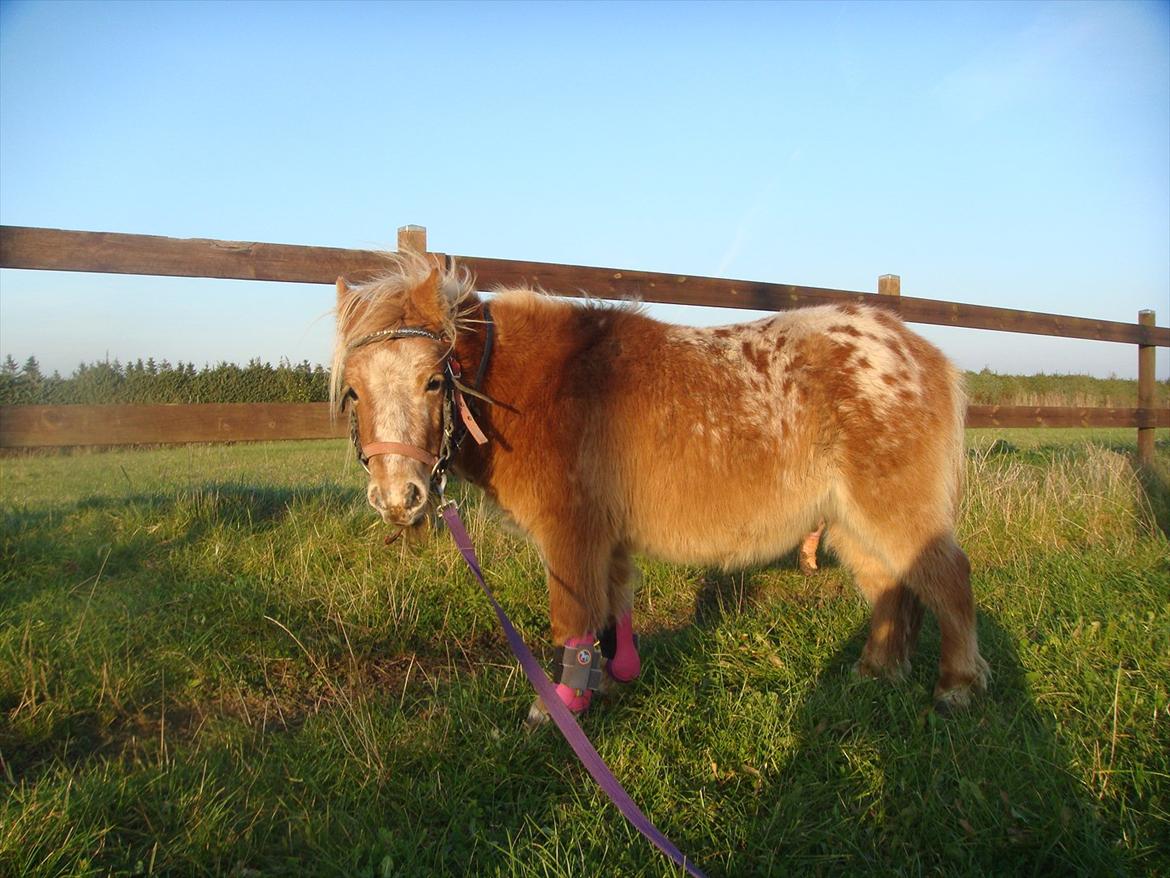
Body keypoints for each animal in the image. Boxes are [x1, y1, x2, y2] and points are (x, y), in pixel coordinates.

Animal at [332, 252, 990, 721]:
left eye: (431, 382)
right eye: (354, 391)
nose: (399, 500)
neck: (541, 386)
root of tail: (921, 351)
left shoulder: (571, 534)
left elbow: (571, 618)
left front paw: (558, 710)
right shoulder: (608, 539)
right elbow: (611, 612)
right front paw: (611, 680)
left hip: (892, 508)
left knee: (949, 580)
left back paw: (957, 687)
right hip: (851, 520)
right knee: (890, 587)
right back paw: (875, 672)